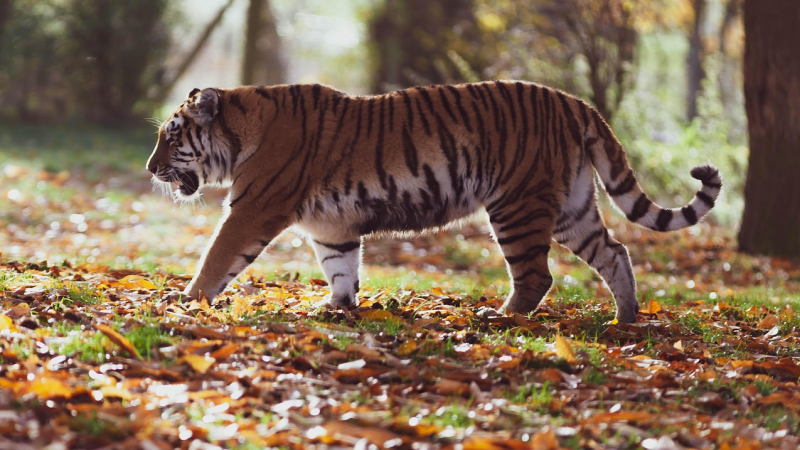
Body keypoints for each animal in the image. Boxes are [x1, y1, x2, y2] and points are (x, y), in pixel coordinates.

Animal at [146, 81, 721, 323]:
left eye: (171, 138)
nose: (150, 170)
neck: (243, 128)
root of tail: (575, 102)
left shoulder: (253, 208)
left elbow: (217, 256)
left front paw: (186, 300)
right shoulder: (331, 226)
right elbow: (341, 267)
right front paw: (336, 307)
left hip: (517, 205)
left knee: (537, 275)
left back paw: (500, 318)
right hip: (571, 209)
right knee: (615, 253)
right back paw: (626, 319)